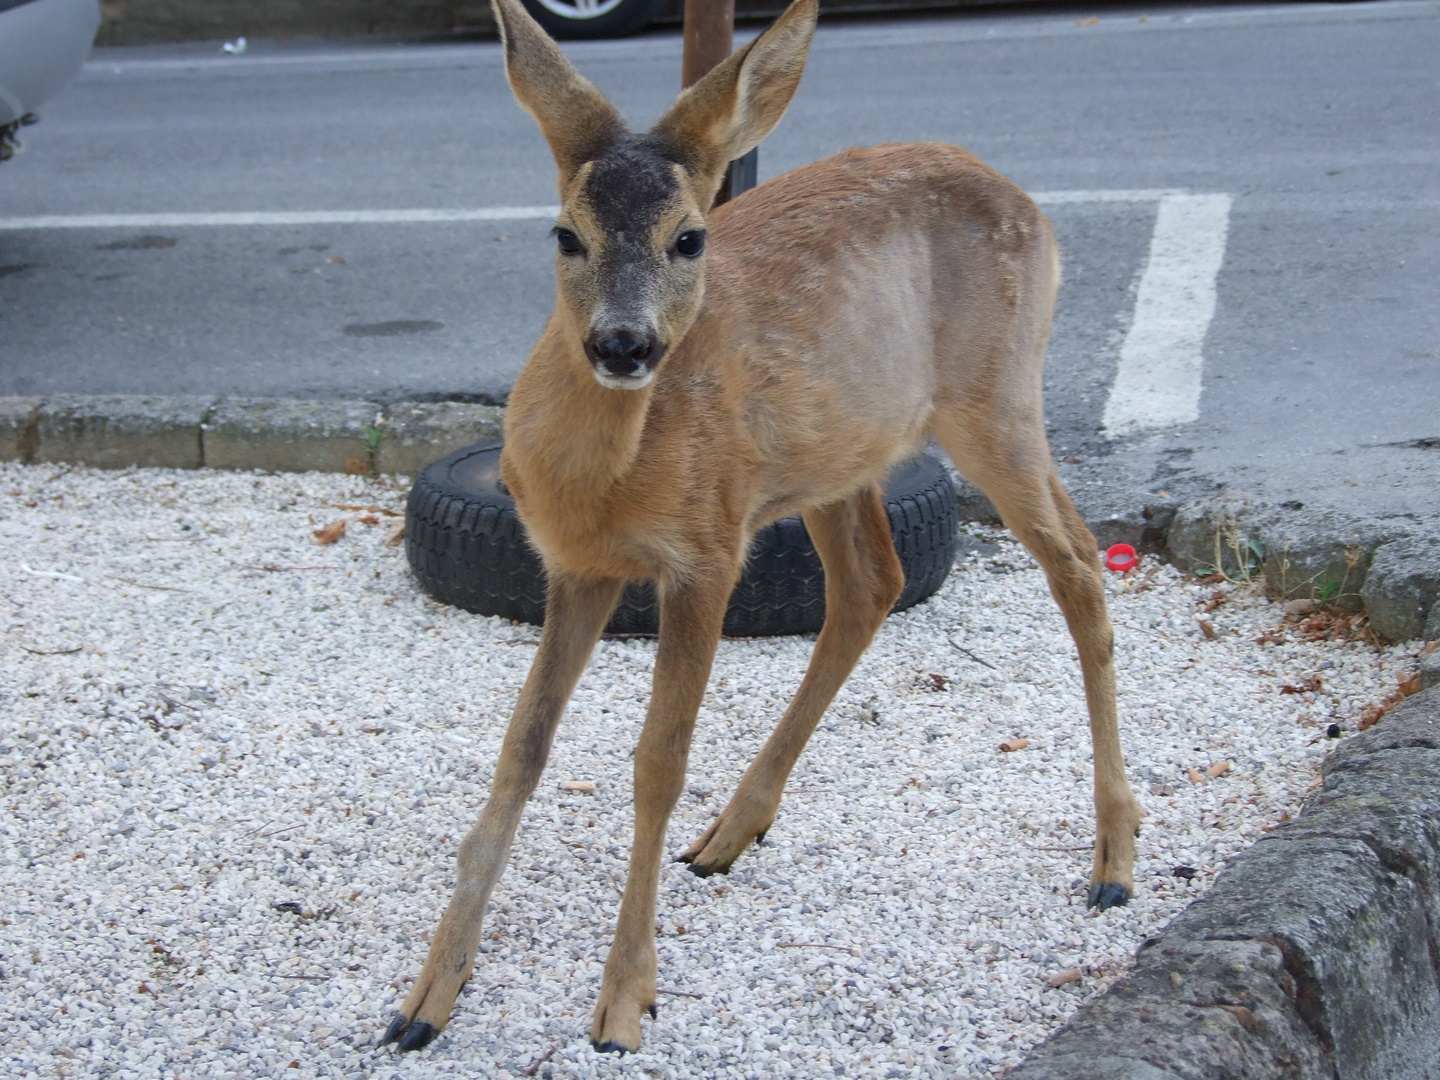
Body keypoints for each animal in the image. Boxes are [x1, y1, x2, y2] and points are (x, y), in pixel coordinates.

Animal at [380, 0, 1134, 1054]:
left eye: (691, 239)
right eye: (564, 234)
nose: (624, 344)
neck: (604, 484)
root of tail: (1028, 201)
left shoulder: (706, 551)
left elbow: (657, 762)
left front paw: (623, 1002)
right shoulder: (575, 568)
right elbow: (520, 751)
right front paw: (425, 999)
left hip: (997, 398)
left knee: (1077, 563)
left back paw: (1113, 862)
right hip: (839, 457)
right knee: (876, 584)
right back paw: (732, 833)